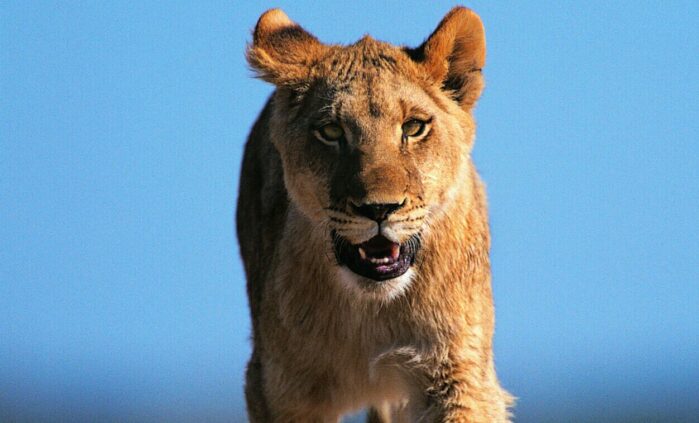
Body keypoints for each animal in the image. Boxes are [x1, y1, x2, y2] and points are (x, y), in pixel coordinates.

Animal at [237, 6, 513, 422]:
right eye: (332, 131)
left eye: (413, 127)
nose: (379, 209)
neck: (373, 313)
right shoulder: (277, 387)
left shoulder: (462, 377)